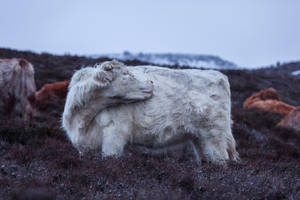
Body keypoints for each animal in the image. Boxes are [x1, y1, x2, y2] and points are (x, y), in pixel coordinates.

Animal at [61, 60, 239, 165]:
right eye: (125, 73)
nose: (151, 82)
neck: (83, 119)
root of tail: (217, 74)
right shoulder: (85, 148)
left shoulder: (114, 136)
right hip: (199, 138)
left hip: (214, 135)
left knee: (221, 159)